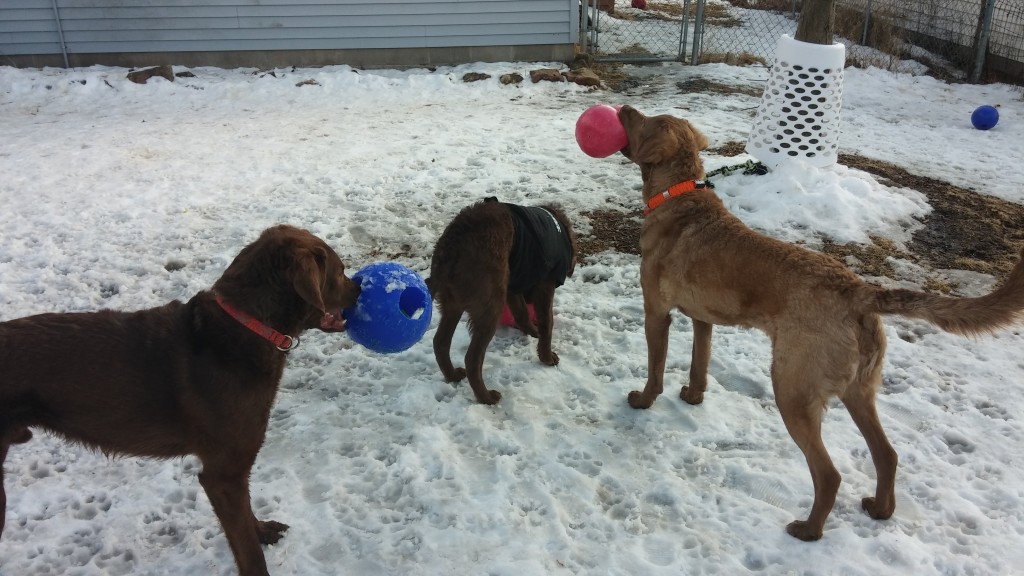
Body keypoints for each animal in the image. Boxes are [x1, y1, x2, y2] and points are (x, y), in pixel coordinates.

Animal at [0, 224, 360, 573]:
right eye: (340, 271)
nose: (359, 289)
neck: (246, 326)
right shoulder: (222, 475)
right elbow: (249, 552)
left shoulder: (234, 472)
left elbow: (248, 516)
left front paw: (262, 531)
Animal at [425, 196, 577, 403]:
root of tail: (449, 247)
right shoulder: (545, 285)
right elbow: (547, 323)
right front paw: (547, 357)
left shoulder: (512, 286)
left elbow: (522, 314)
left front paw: (533, 332)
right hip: (490, 305)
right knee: (472, 358)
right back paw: (487, 397)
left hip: (454, 303)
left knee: (440, 342)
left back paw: (453, 375)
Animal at [614, 105, 1024, 541]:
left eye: (643, 122)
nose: (622, 108)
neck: (677, 193)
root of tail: (858, 290)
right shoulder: (702, 319)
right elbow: (699, 365)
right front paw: (692, 397)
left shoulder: (657, 312)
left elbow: (656, 368)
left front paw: (643, 401)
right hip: (860, 389)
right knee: (887, 454)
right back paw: (880, 509)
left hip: (793, 389)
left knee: (829, 474)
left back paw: (808, 529)